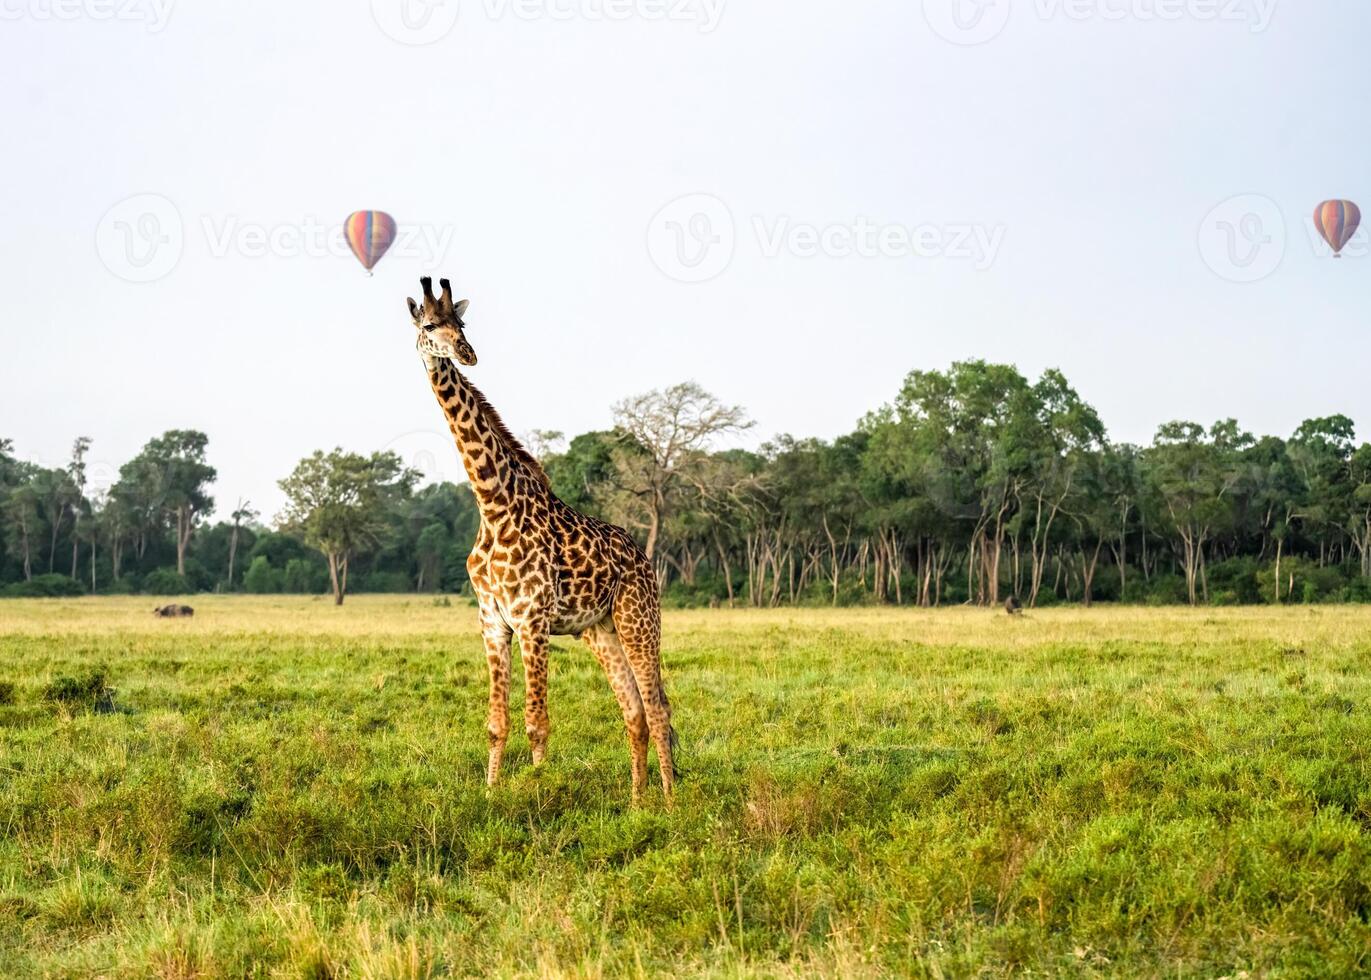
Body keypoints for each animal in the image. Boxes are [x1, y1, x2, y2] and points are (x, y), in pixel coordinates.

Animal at [405, 279, 680, 800]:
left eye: (461, 323)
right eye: (429, 325)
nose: (467, 353)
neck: (492, 506)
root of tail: (643, 557)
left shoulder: (532, 619)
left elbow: (537, 723)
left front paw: (538, 792)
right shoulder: (493, 622)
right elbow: (497, 723)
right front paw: (492, 795)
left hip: (638, 619)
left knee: (658, 707)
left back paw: (673, 802)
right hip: (601, 629)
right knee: (634, 710)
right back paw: (639, 803)